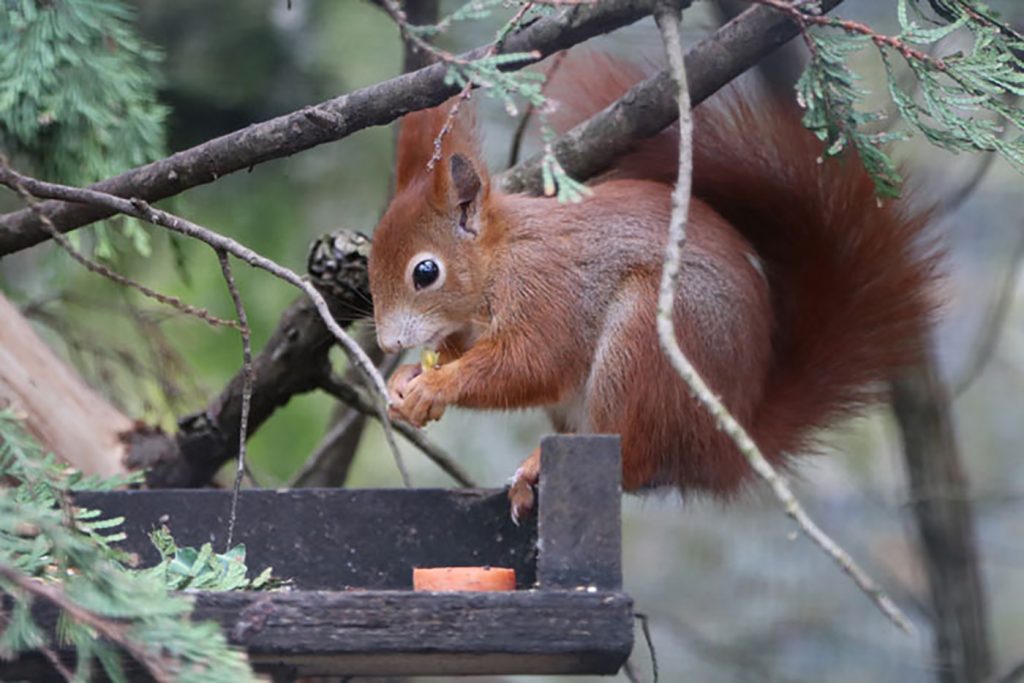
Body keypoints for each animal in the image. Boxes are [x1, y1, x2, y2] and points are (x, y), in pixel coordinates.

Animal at [368, 52, 937, 520]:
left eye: (425, 272)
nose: (389, 345)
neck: (499, 260)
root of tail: (719, 447)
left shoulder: (548, 292)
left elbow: (532, 363)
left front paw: (436, 384)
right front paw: (407, 381)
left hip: (642, 346)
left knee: (634, 466)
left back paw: (538, 467)